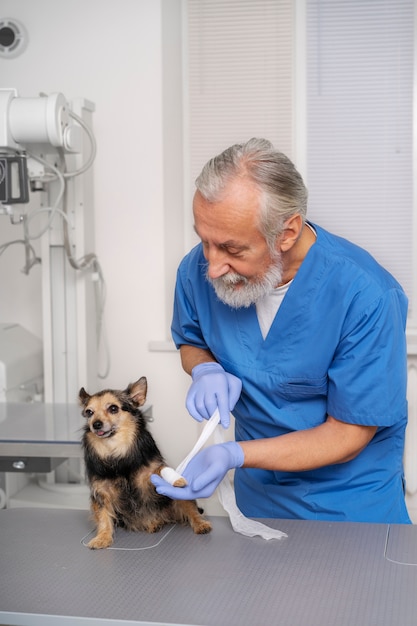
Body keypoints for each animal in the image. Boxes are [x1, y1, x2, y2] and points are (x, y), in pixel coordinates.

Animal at [79, 376, 211, 544]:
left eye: (113, 408)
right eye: (89, 412)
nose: (95, 424)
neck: (117, 451)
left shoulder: (149, 477)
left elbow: (160, 470)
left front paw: (175, 478)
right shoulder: (101, 491)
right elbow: (103, 516)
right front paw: (102, 538)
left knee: (191, 509)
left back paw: (200, 524)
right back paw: (154, 523)